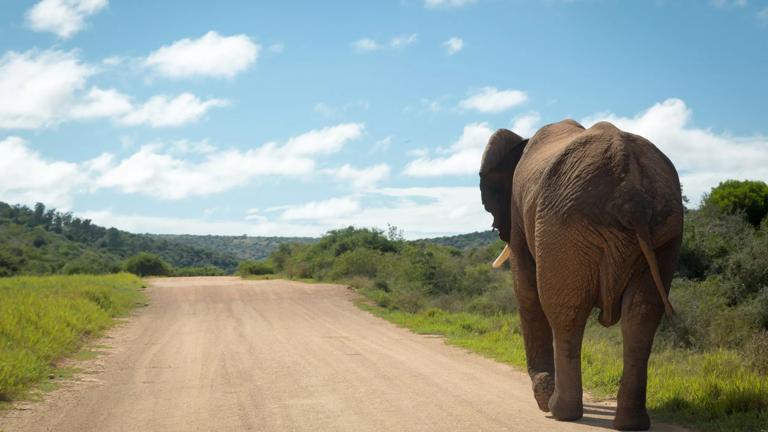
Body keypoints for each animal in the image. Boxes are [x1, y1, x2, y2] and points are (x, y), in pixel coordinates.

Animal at [480, 119, 684, 432]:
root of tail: (632, 195)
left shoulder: (517, 211)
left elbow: (526, 291)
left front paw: (543, 400)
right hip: (666, 229)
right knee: (642, 314)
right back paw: (630, 423)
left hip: (563, 227)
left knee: (565, 312)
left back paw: (559, 410)